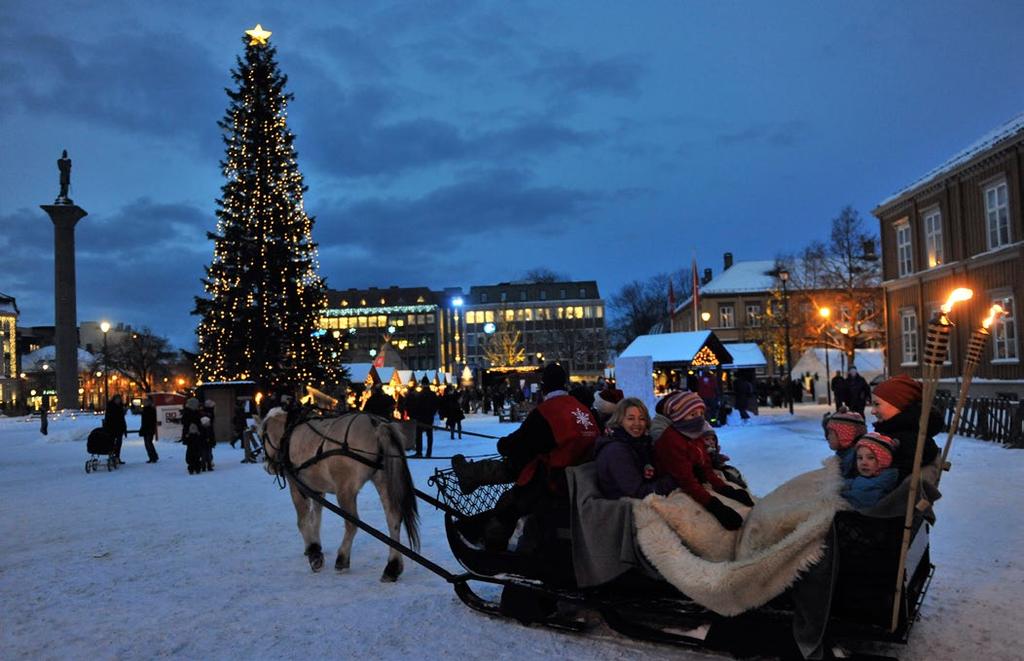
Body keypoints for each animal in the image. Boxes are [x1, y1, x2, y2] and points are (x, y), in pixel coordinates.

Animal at [260, 407, 419, 581]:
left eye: (262, 436)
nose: (267, 466)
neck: (289, 433)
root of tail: (377, 424)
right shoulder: (317, 489)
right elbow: (315, 519)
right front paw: (315, 546)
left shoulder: (297, 486)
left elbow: (303, 521)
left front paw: (314, 552)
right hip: (383, 481)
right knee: (393, 519)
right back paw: (392, 567)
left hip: (345, 491)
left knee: (352, 523)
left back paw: (342, 558)